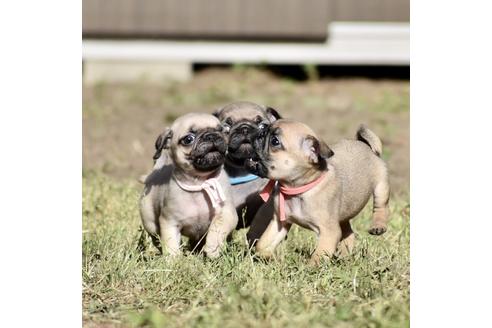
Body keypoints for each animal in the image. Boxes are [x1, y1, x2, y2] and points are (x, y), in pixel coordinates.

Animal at [138, 113, 238, 258]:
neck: (199, 181)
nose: (211, 135)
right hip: (150, 221)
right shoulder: (170, 222)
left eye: (221, 131)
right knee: (155, 236)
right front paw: (173, 259)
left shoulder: (226, 213)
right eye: (188, 139)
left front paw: (212, 248)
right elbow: (171, 243)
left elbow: (217, 229)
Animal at [248, 120, 390, 264]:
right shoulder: (280, 222)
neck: (296, 188)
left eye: (275, 141)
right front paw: (268, 257)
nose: (261, 130)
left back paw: (378, 227)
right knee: (348, 233)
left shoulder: (329, 232)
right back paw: (344, 256)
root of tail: (365, 145)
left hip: (381, 186)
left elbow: (319, 255)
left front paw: (310, 267)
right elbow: (263, 243)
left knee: (381, 207)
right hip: (341, 215)